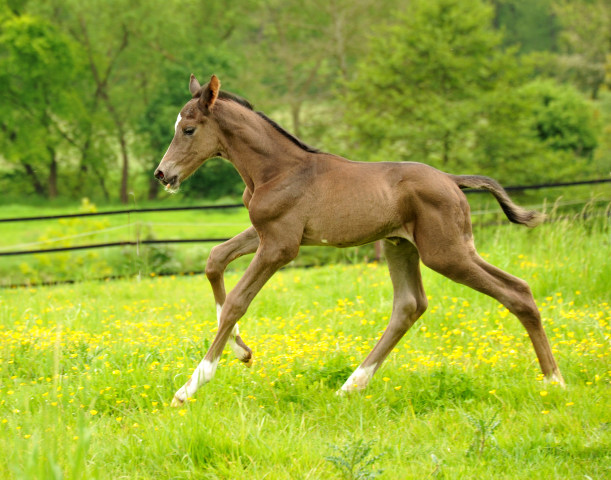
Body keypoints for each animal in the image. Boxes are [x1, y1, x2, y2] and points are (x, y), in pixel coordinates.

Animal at [154, 75, 564, 404]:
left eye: (188, 129)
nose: (162, 173)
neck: (277, 170)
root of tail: (452, 179)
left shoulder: (280, 246)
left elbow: (238, 301)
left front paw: (190, 387)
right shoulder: (265, 232)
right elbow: (215, 259)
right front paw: (242, 350)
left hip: (447, 252)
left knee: (516, 291)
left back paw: (554, 381)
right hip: (403, 246)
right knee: (409, 305)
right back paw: (351, 385)